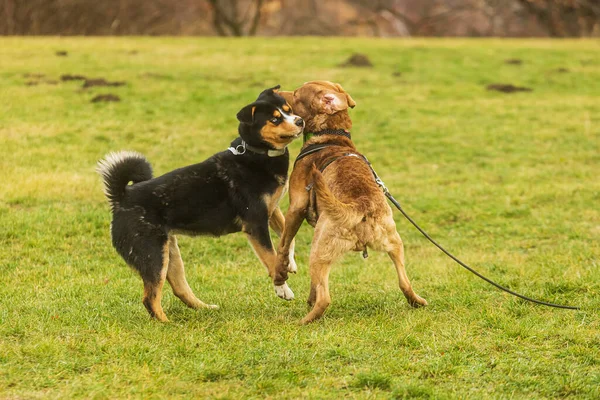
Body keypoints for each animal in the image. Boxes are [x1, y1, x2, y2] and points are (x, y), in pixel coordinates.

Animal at [99, 86, 304, 320]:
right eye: (275, 119)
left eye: (289, 110)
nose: (300, 121)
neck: (255, 153)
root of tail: (122, 198)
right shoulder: (255, 223)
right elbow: (271, 259)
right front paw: (282, 288)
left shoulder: (271, 210)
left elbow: (288, 236)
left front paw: (289, 262)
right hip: (152, 255)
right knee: (150, 298)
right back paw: (167, 323)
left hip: (168, 253)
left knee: (179, 289)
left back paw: (204, 308)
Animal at [272, 79, 426, 324]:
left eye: (296, 95)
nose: (276, 91)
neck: (331, 135)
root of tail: (361, 206)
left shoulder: (296, 207)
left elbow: (284, 245)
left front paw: (280, 276)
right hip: (395, 243)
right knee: (404, 283)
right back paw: (417, 301)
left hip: (318, 249)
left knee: (325, 299)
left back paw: (302, 321)